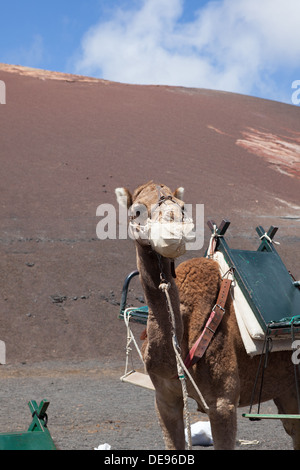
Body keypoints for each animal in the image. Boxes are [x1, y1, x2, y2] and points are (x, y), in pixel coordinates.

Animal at [115, 182, 300, 450]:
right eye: (137, 211)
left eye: (183, 207)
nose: (174, 228)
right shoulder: (164, 398)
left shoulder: (223, 402)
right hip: (286, 388)